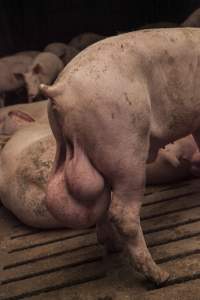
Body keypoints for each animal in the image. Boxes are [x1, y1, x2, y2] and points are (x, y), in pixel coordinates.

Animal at [38, 28, 200, 286]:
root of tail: (61, 89)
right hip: (125, 149)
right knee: (123, 213)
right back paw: (161, 275)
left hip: (78, 148)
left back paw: (113, 246)